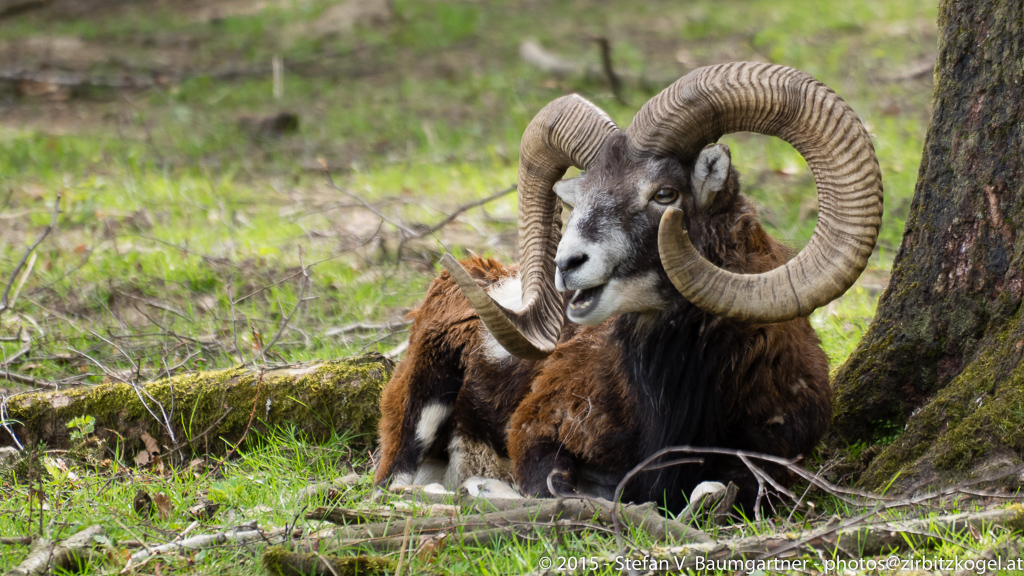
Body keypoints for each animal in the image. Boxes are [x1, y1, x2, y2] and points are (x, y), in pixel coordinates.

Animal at [374, 62, 883, 513]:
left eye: (664, 194)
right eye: (577, 198)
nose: (567, 264)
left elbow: (723, 492)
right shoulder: (537, 433)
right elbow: (558, 492)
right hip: (423, 405)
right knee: (395, 484)